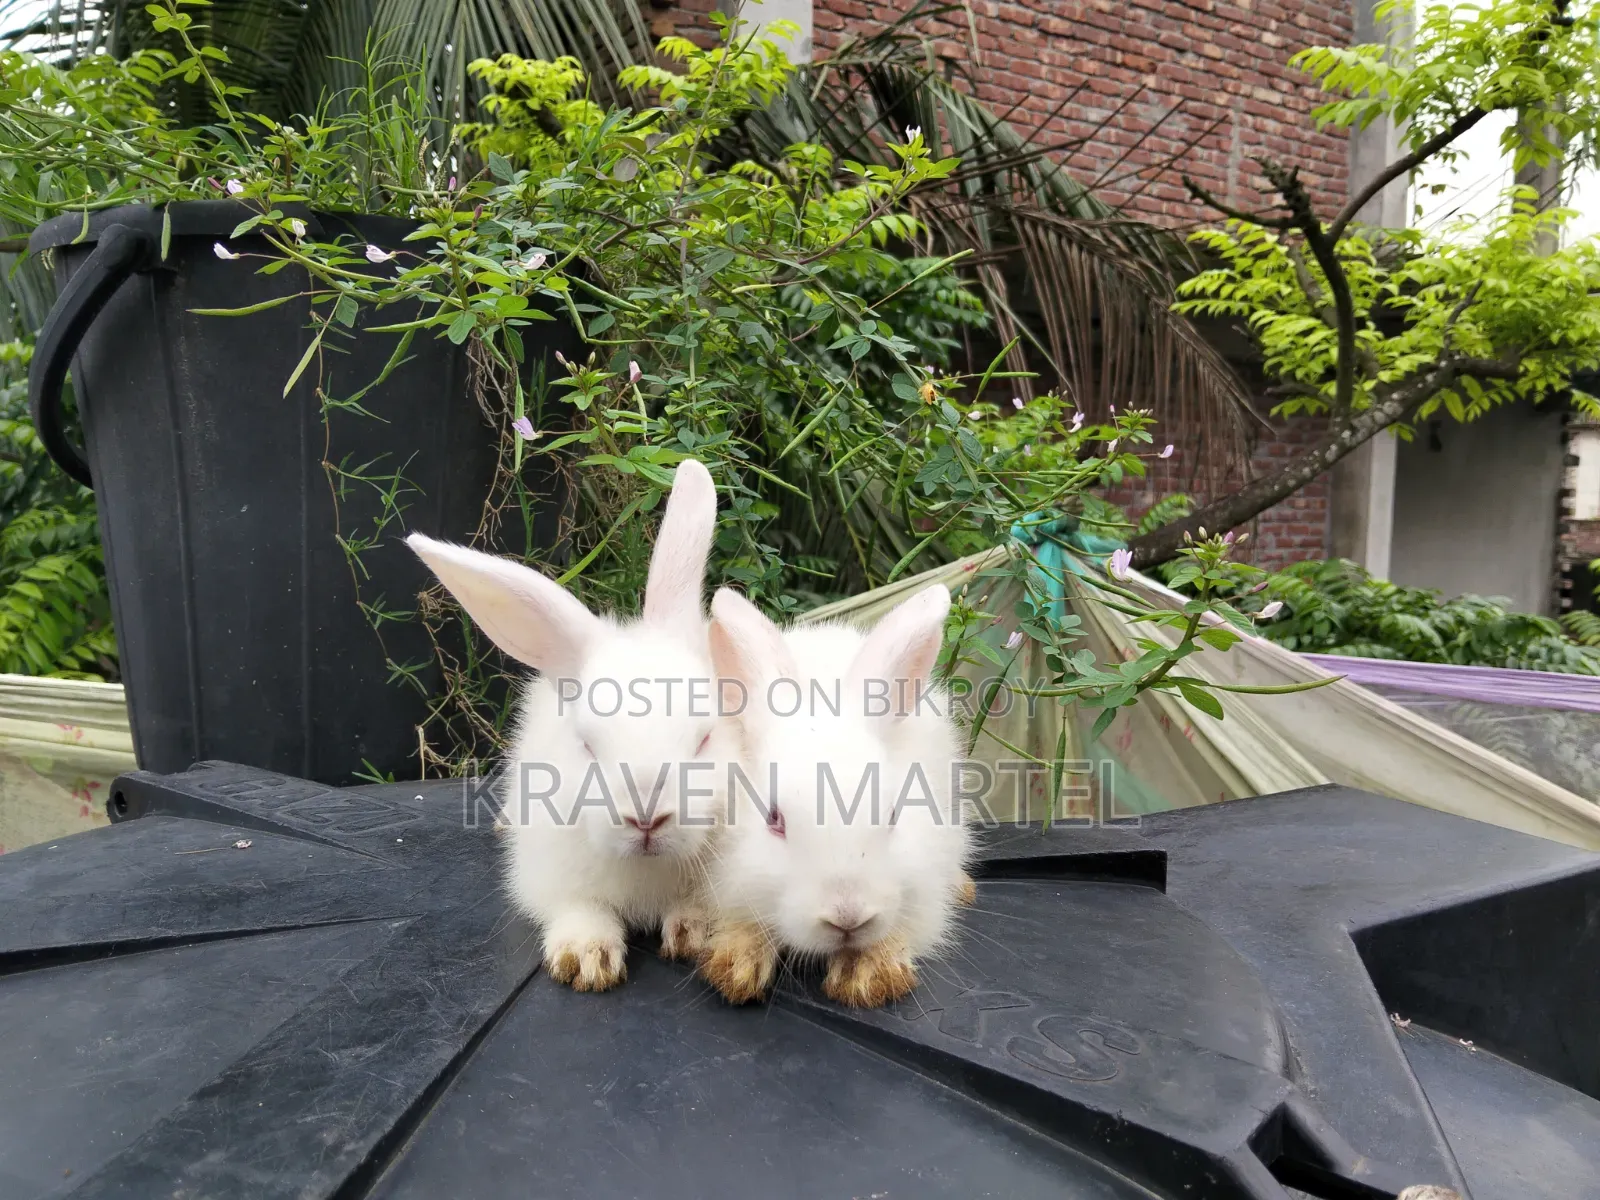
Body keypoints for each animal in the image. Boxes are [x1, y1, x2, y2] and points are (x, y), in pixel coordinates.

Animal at [406, 458, 725, 993]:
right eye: (587, 744)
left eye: (705, 739)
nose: (645, 818)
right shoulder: (551, 877)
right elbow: (579, 908)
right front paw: (586, 959)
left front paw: (694, 934)